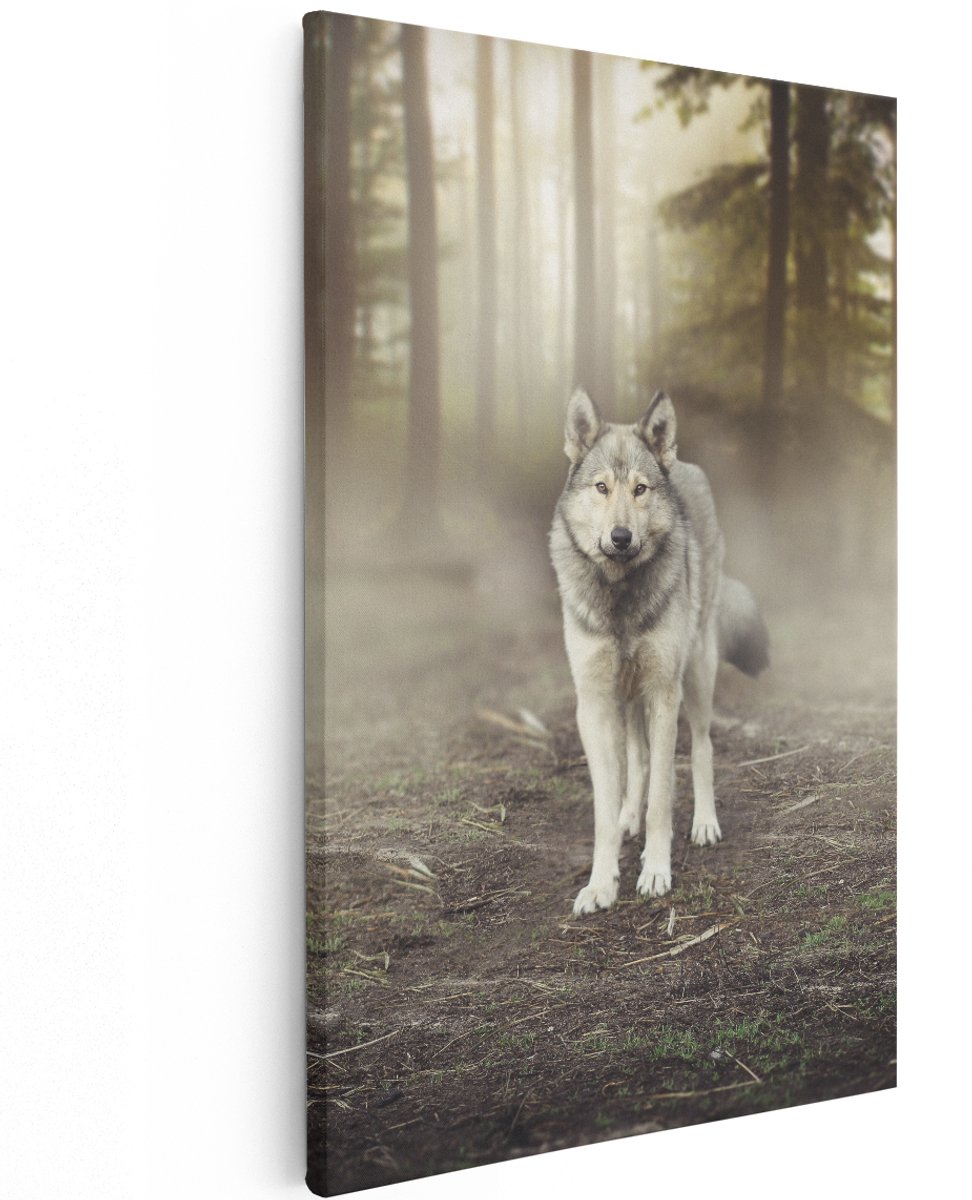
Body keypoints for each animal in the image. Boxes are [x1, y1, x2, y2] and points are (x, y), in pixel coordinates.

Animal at [550, 388, 768, 915]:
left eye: (641, 490)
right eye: (602, 488)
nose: (621, 537)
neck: (620, 595)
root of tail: (684, 462)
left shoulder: (665, 694)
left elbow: (663, 799)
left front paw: (654, 870)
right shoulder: (595, 704)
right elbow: (605, 808)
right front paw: (601, 883)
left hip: (697, 674)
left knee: (703, 747)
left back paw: (705, 823)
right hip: (629, 697)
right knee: (638, 760)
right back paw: (629, 815)